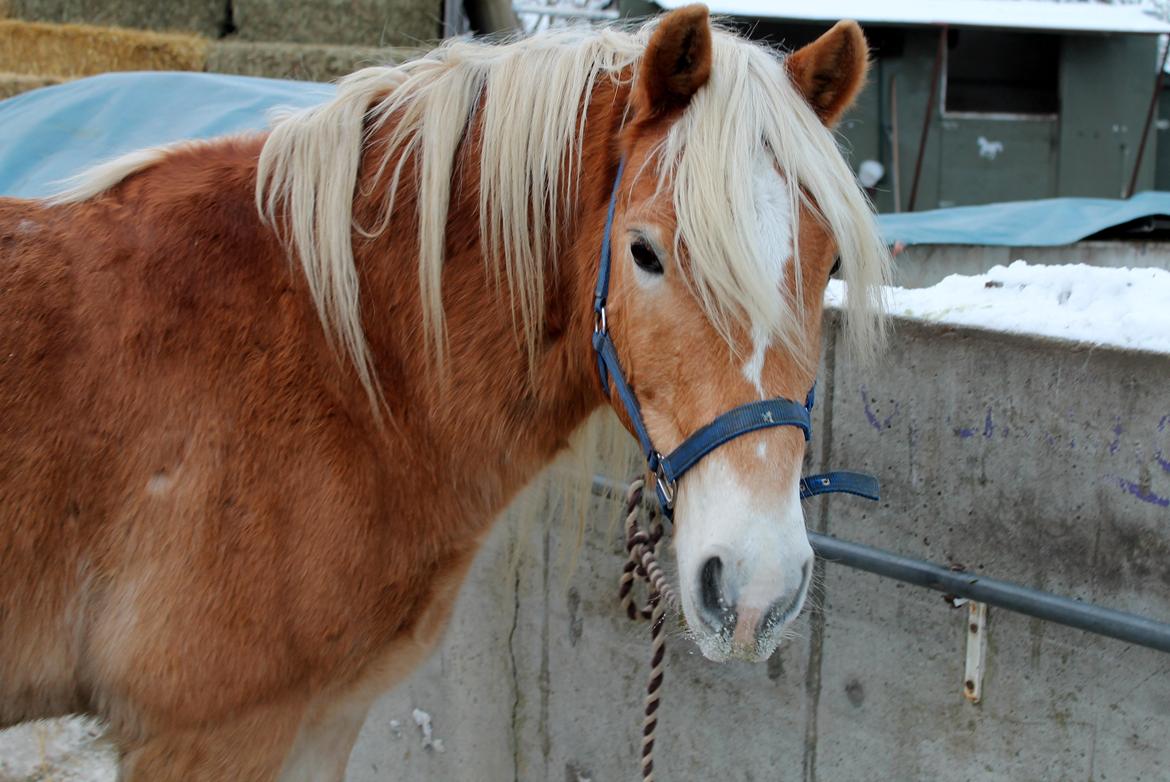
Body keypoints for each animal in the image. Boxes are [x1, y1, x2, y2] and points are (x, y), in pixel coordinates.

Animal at [0, 4, 884, 777]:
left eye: (830, 264)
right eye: (645, 252)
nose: (757, 588)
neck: (342, 362)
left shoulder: (324, 717)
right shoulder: (206, 736)